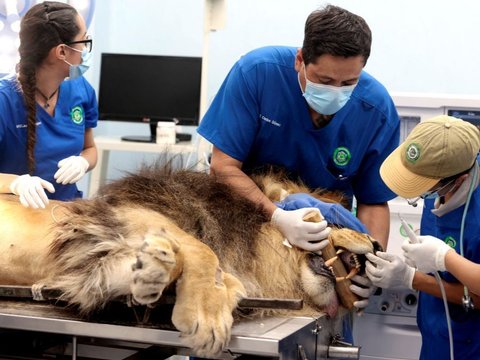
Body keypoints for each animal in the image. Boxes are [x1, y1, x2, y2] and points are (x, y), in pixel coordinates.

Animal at [0, 163, 376, 358]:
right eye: (338, 219)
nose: (375, 243)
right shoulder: (128, 212)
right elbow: (202, 251)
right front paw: (208, 311)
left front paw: (146, 272)